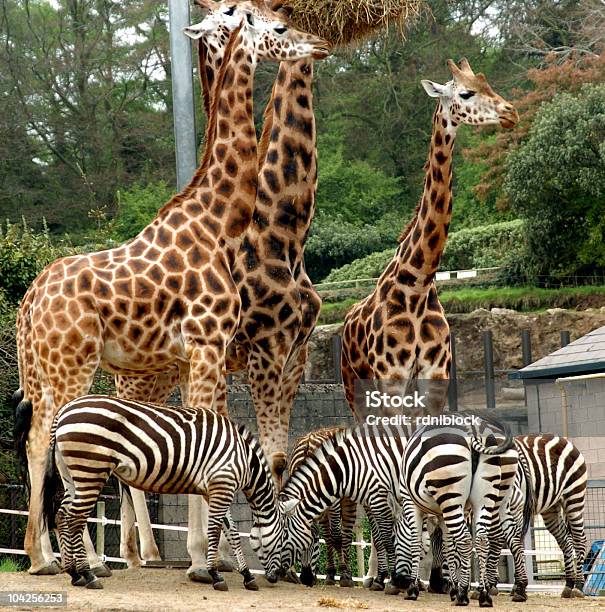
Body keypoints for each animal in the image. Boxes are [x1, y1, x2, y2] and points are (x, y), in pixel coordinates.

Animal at [40, 394, 284, 592]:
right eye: (283, 539)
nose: (277, 577)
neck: (245, 459)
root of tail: (63, 411)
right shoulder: (222, 484)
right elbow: (215, 530)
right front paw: (216, 576)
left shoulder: (214, 489)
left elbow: (232, 532)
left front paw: (247, 576)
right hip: (90, 469)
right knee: (75, 518)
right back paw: (88, 575)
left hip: (71, 474)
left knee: (62, 516)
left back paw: (74, 574)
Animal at [340, 58, 520, 426]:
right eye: (466, 93)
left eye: (488, 84)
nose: (511, 112)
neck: (418, 285)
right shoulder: (391, 379)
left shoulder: (436, 378)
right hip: (356, 389)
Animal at [394, 416, 516, 608]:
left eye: (395, 541)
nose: (397, 581)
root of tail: (473, 429)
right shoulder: (443, 514)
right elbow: (448, 547)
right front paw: (452, 588)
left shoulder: (410, 503)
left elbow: (416, 543)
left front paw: (412, 589)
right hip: (485, 498)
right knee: (482, 540)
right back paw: (484, 595)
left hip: (449, 493)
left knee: (466, 540)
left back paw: (463, 595)